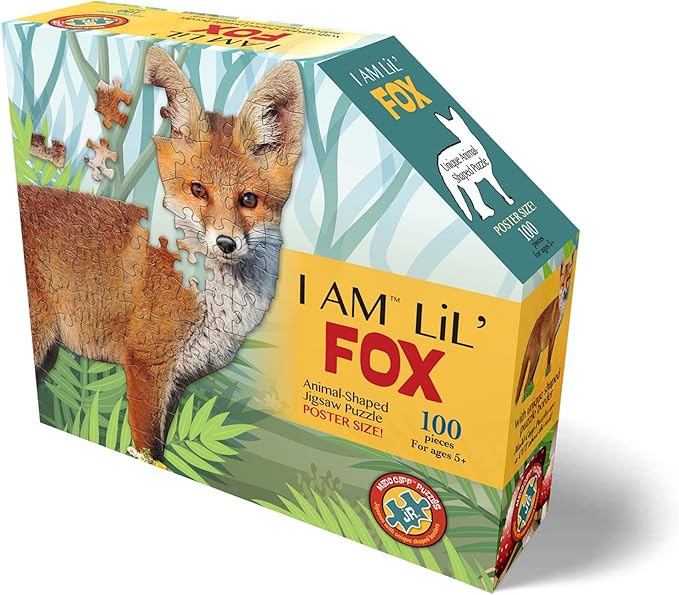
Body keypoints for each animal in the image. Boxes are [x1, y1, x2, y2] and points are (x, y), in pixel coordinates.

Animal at [18, 47, 304, 460]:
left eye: (249, 200)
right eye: (199, 190)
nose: (226, 243)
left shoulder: (178, 379)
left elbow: (161, 447)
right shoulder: (146, 365)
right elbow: (147, 448)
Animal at [515, 253, 575, 404]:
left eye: (568, 280)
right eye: (561, 283)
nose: (564, 292)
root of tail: (528, 342)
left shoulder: (556, 333)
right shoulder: (552, 335)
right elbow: (549, 357)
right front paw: (548, 370)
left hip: (534, 361)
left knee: (528, 382)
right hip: (535, 358)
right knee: (525, 385)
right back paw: (523, 400)